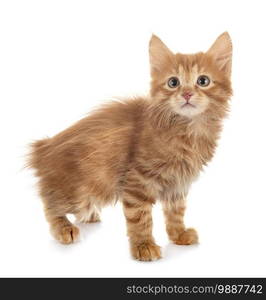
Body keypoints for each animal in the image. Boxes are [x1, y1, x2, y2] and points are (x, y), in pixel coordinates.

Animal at [29, 32, 233, 262]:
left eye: (203, 81)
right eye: (173, 82)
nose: (187, 94)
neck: (187, 129)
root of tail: (44, 148)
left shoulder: (177, 184)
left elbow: (176, 212)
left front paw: (179, 235)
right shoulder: (138, 180)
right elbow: (140, 217)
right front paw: (144, 246)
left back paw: (89, 215)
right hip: (81, 189)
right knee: (50, 201)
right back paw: (64, 228)